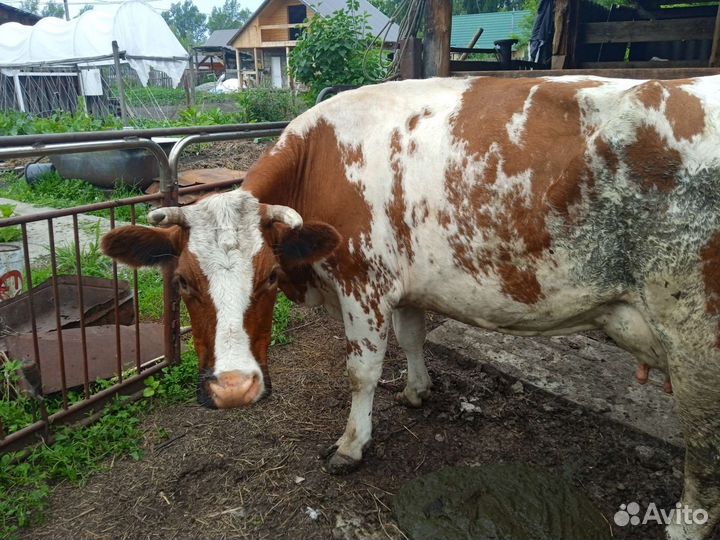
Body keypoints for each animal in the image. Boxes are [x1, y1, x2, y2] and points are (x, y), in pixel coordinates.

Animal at [102, 75, 720, 539]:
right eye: (183, 282)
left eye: (270, 275)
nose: (235, 388)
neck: (319, 160)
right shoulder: (404, 282)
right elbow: (414, 336)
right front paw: (419, 390)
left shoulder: (363, 281)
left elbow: (362, 370)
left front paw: (352, 445)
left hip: (696, 333)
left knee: (704, 439)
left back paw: (685, 525)